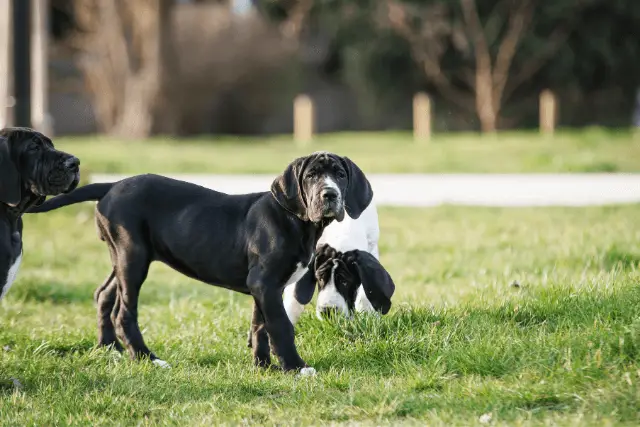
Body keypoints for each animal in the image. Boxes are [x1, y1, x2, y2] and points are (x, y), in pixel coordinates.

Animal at [27, 151, 372, 374]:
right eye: (312, 176)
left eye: (340, 175)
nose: (330, 195)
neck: (296, 221)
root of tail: (111, 185)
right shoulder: (265, 283)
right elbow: (280, 325)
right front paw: (295, 367)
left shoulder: (261, 287)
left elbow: (259, 326)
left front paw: (264, 367)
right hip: (133, 257)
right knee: (124, 312)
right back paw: (147, 358)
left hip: (123, 257)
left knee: (104, 295)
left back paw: (108, 349)